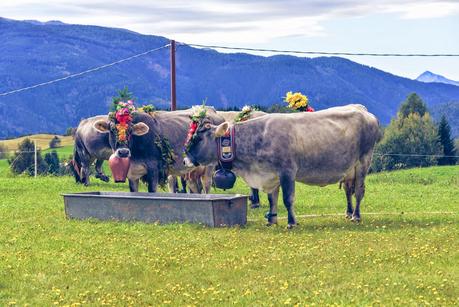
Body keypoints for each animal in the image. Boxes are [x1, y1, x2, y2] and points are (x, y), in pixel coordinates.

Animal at [183, 106, 380, 229]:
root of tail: (363, 110)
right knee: (349, 190)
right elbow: (272, 199)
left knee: (359, 191)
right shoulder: (271, 174)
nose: (185, 160)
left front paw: (291, 222)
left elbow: (287, 199)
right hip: (349, 170)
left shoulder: (287, 172)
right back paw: (348, 213)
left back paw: (356, 216)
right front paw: (272, 219)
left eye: (198, 138)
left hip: (364, 161)